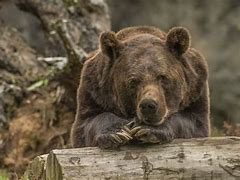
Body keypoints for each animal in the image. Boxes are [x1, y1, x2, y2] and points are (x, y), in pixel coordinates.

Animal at [71, 26, 210, 148]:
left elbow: (193, 123)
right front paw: (117, 132)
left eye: (162, 77)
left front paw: (148, 130)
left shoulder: (196, 89)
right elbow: (86, 124)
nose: (148, 105)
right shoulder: (94, 90)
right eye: (133, 81)